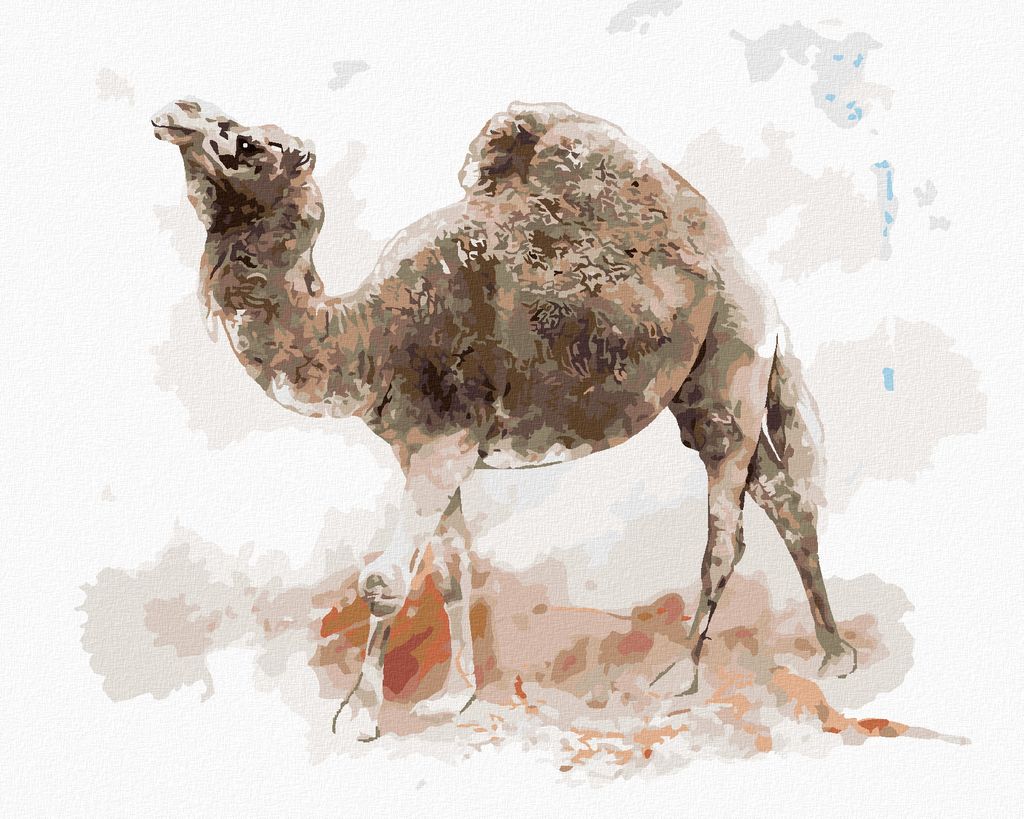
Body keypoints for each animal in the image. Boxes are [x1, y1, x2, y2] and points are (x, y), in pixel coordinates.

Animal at [152, 98, 857, 741]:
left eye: (246, 140)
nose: (175, 112)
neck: (370, 336)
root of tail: (753, 280)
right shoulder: (424, 447)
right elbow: (451, 571)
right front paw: (456, 695)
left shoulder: (442, 446)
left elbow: (385, 579)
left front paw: (357, 716)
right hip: (708, 387)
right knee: (785, 496)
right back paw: (835, 653)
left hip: (730, 364)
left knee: (725, 531)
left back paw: (681, 674)